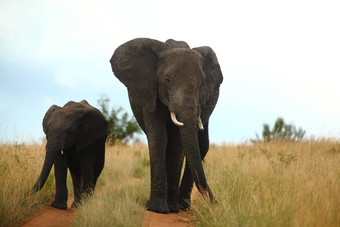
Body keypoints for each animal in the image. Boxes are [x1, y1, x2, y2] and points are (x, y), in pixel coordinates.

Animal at [110, 38, 223, 214]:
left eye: (202, 83)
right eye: (167, 80)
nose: (216, 202)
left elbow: (177, 142)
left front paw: (171, 208)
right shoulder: (150, 92)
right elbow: (159, 138)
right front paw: (157, 209)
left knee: (202, 145)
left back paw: (181, 206)